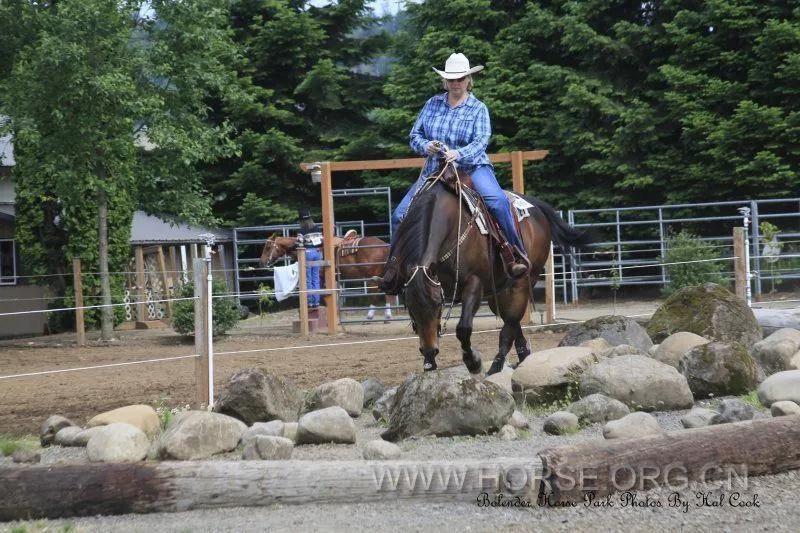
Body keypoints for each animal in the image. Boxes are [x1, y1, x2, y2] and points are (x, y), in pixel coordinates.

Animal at [260, 234, 396, 320]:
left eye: (268, 247)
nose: (262, 262)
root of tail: (385, 246)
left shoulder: (321, 276)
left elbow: (322, 293)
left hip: (371, 277)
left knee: (375, 293)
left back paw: (370, 315)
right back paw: (387, 315)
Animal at [378, 166, 592, 374]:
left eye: (438, 305)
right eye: (410, 307)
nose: (430, 351)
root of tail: (536, 207)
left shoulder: (475, 282)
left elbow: (464, 327)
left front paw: (473, 361)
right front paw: (429, 362)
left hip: (522, 282)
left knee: (510, 323)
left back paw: (496, 366)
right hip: (498, 292)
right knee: (512, 322)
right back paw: (523, 355)